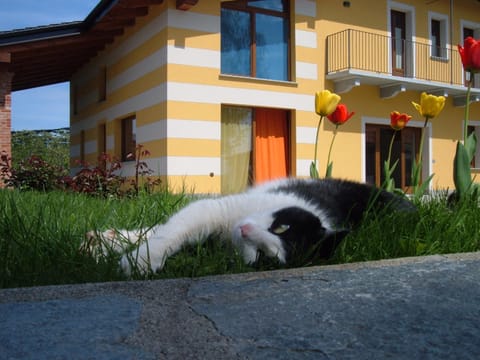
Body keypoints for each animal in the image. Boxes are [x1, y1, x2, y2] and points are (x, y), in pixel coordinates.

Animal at [86, 178, 416, 276]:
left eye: (264, 257)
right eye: (282, 227)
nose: (244, 231)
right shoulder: (221, 209)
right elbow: (170, 228)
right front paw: (139, 258)